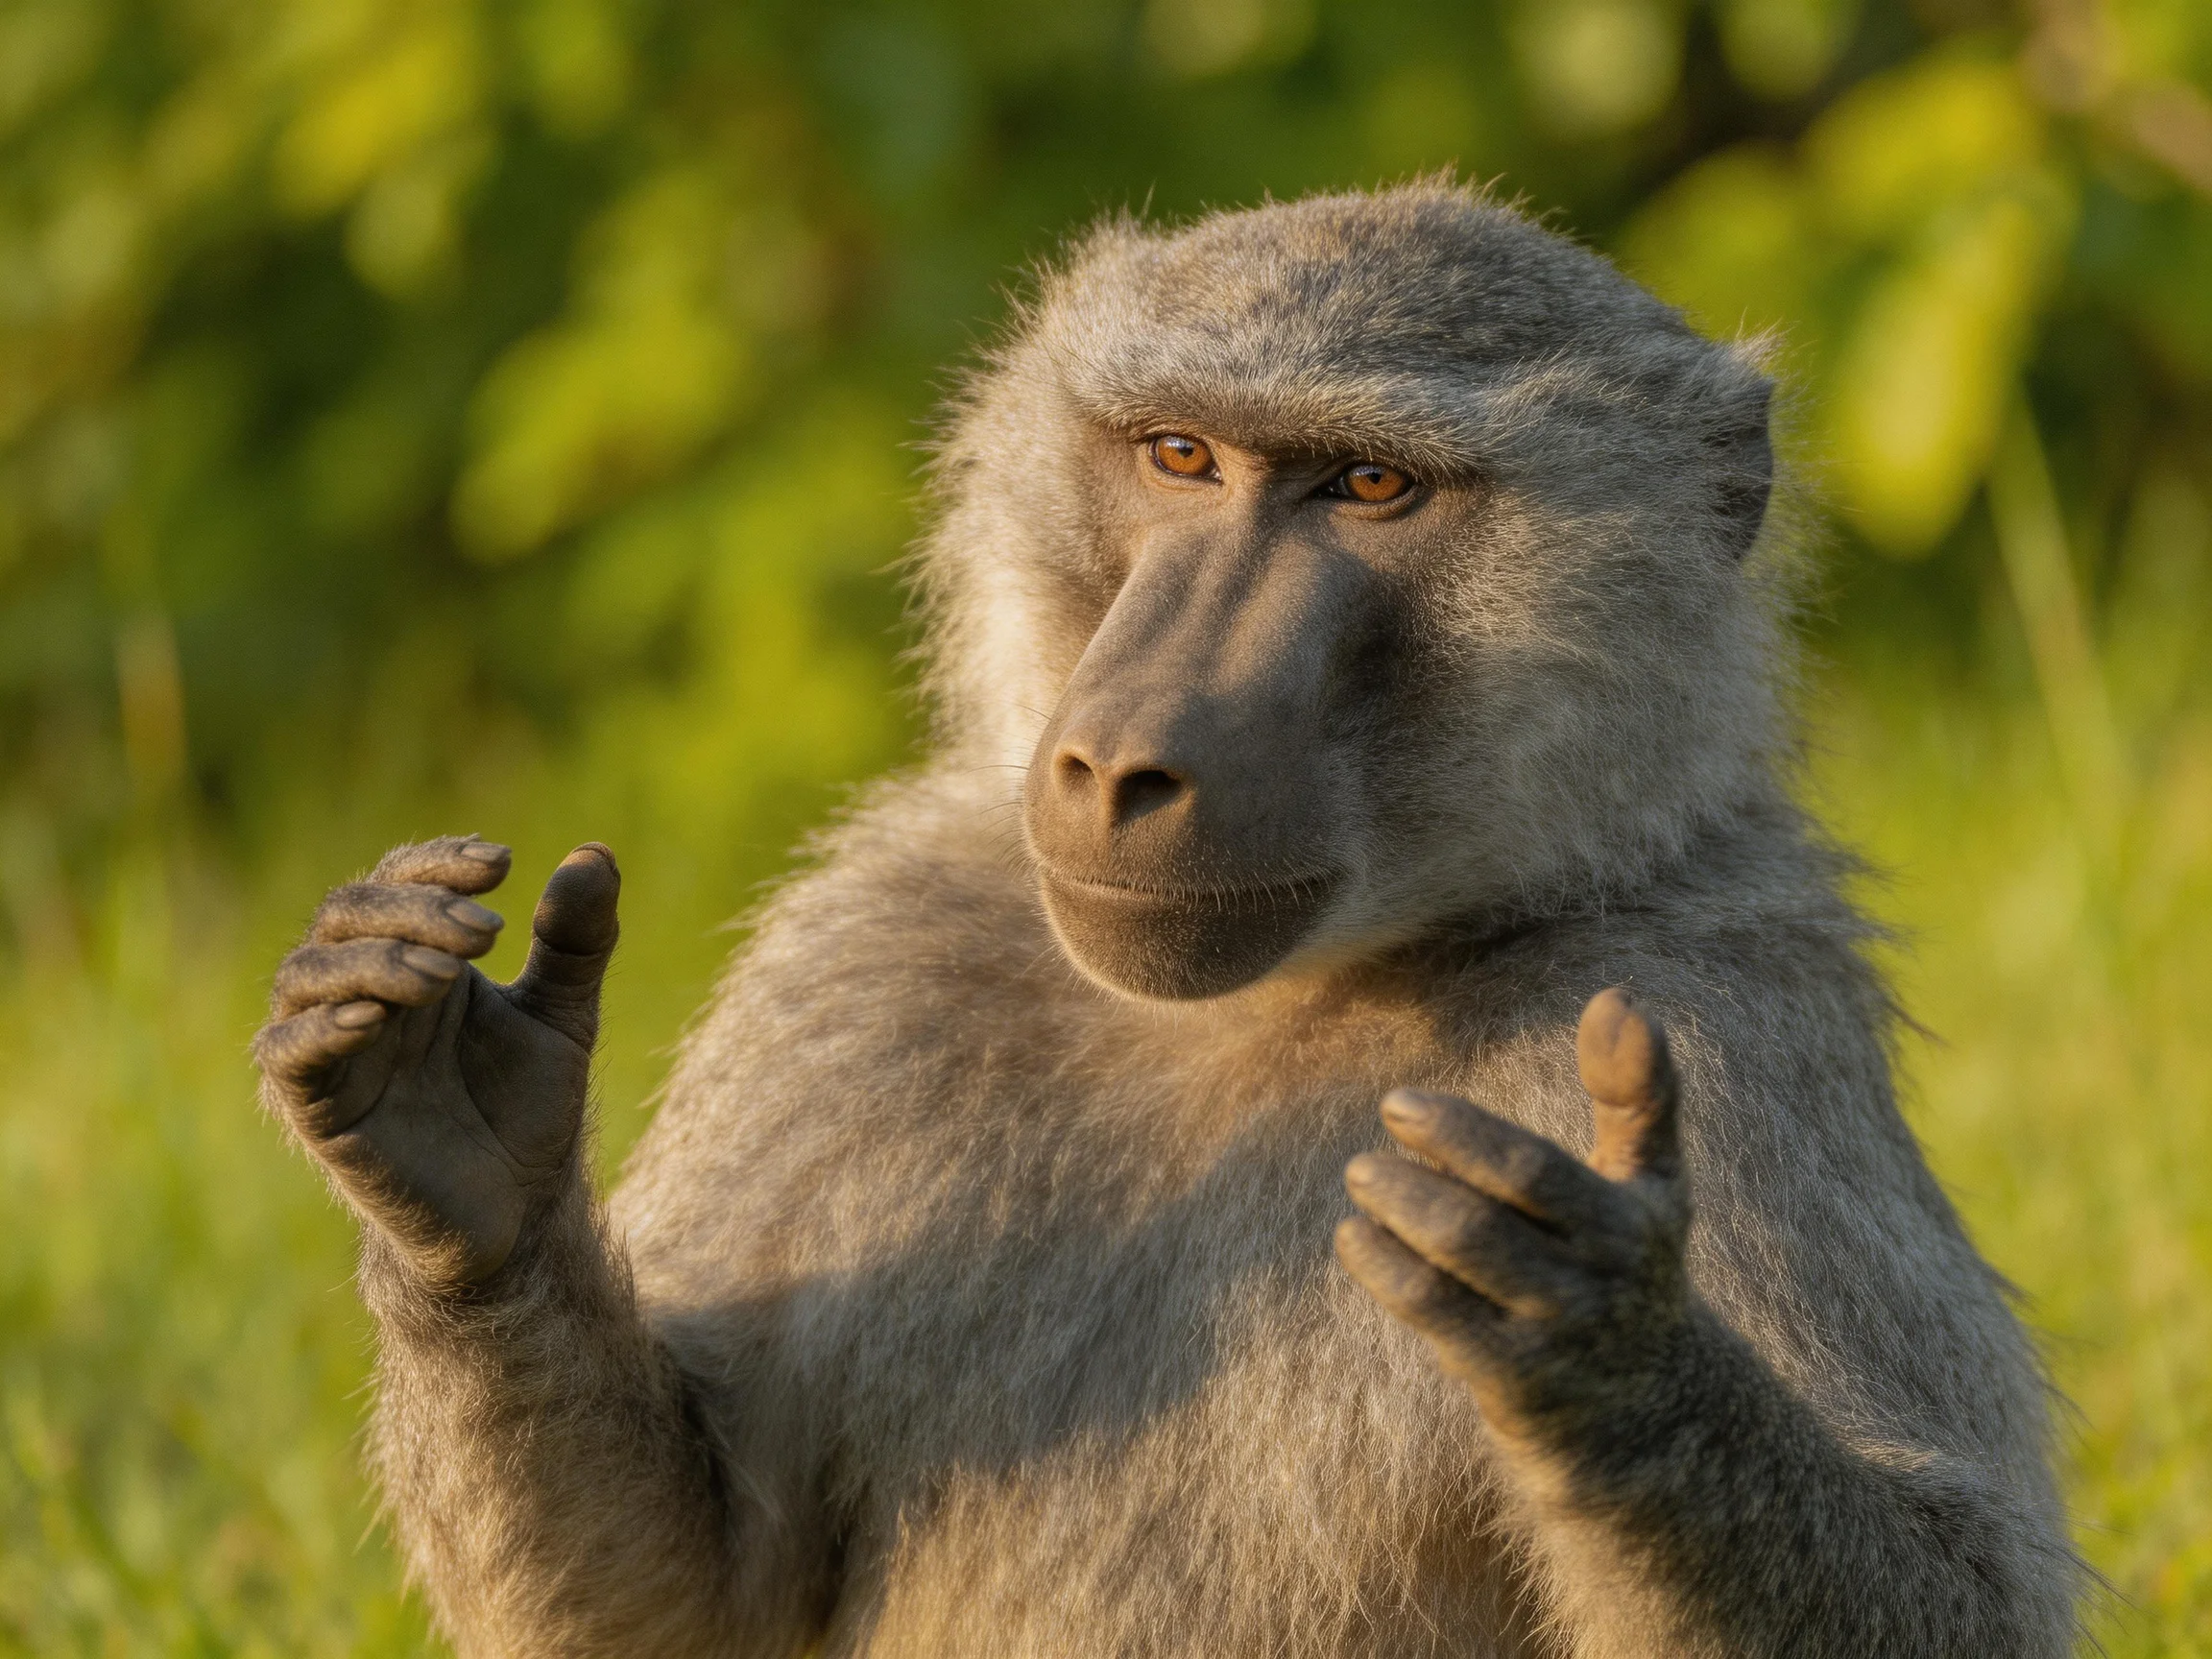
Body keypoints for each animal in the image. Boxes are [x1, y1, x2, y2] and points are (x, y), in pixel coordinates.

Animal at [253, 183, 2079, 1657]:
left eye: (1368, 485)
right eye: (1179, 454)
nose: (1122, 760)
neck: (1285, 994)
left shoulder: (1718, 1014)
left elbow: (1968, 1595)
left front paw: (1604, 1353)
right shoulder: (870, 957)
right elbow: (703, 1596)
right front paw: (453, 1138)